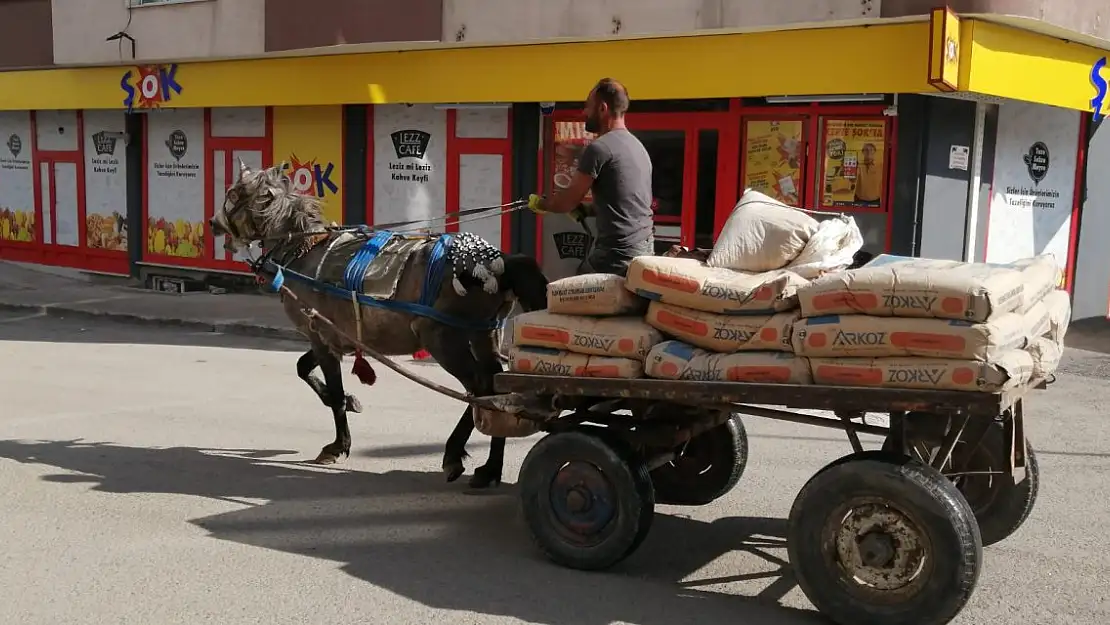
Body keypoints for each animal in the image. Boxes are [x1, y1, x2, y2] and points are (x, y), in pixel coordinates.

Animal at [208, 160, 550, 488]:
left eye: (234, 194)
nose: (212, 223)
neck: (305, 249)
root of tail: (497, 261)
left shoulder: (321, 336)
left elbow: (329, 390)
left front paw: (338, 444)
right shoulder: (333, 337)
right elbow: (304, 368)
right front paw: (349, 401)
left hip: (445, 339)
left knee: (479, 389)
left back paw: (454, 454)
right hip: (484, 334)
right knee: (496, 388)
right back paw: (490, 468)